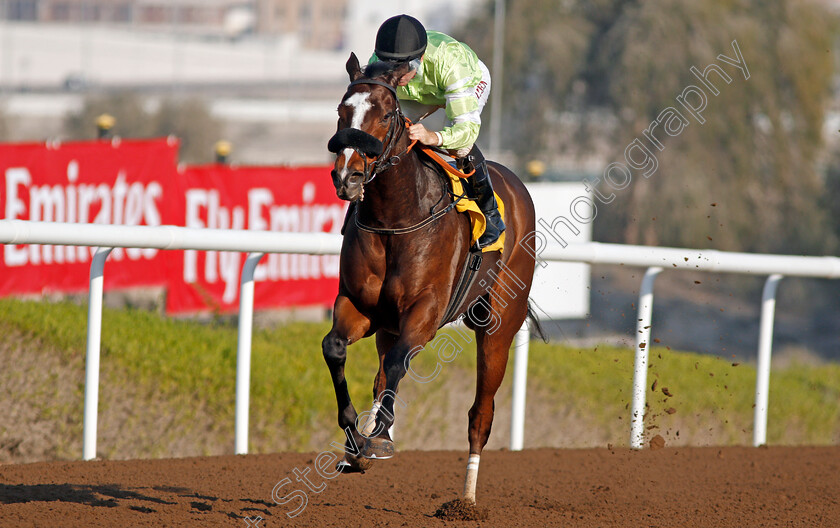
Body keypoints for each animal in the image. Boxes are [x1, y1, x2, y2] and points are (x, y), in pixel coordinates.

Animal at [322, 52, 540, 504]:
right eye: (341, 111)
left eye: (386, 114)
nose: (348, 177)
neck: (395, 219)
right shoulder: (360, 306)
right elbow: (335, 348)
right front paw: (356, 439)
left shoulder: (424, 313)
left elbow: (401, 362)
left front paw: (377, 438)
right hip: (389, 325)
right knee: (382, 375)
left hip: (499, 325)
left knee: (480, 413)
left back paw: (467, 499)